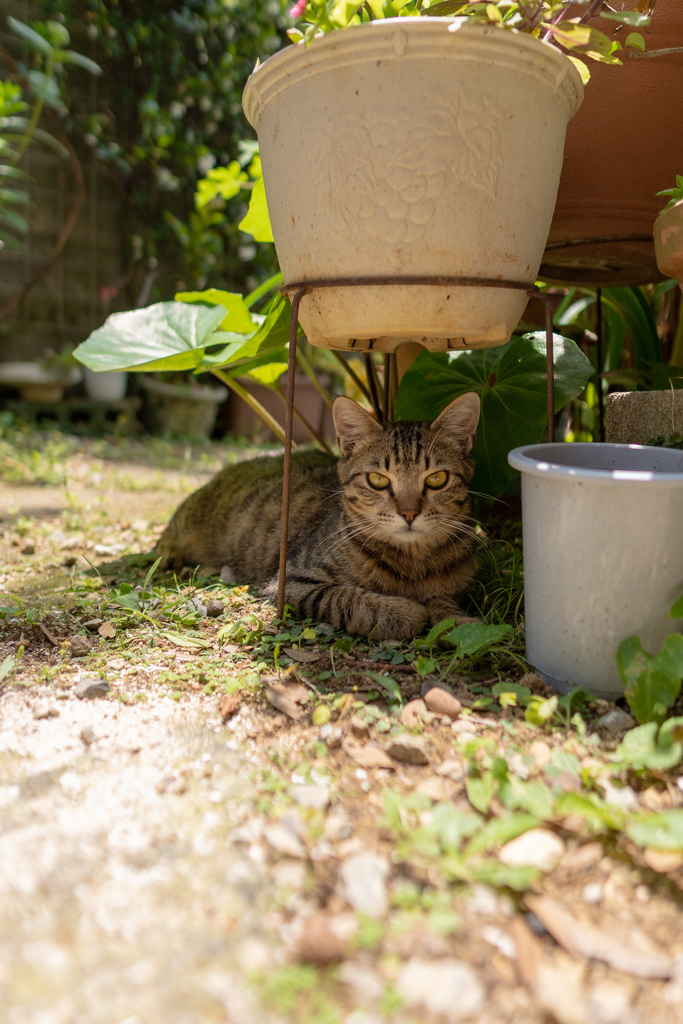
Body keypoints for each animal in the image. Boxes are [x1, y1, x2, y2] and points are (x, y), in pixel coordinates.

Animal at [158, 391, 483, 638]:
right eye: (377, 480)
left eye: (437, 479)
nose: (409, 512)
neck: (411, 562)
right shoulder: (291, 582)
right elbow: (350, 600)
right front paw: (406, 611)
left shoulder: (455, 589)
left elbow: (447, 607)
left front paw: (462, 623)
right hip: (189, 519)